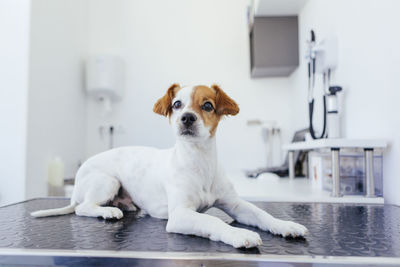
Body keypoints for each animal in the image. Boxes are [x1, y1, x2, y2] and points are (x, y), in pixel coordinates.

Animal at [32, 84, 306, 249]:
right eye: (176, 104)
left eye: (207, 105)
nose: (187, 118)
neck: (199, 161)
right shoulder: (180, 215)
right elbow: (212, 222)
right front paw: (238, 234)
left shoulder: (235, 205)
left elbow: (262, 214)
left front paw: (286, 225)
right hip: (107, 181)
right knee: (83, 208)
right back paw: (108, 211)